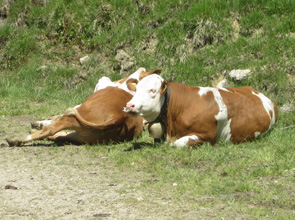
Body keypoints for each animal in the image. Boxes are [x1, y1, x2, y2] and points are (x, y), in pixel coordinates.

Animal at [6, 67, 162, 146]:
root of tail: (118, 117)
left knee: (55, 128)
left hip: (77, 118)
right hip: (83, 135)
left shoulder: (78, 106)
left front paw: (39, 123)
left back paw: (17, 139)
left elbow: (57, 116)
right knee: (61, 135)